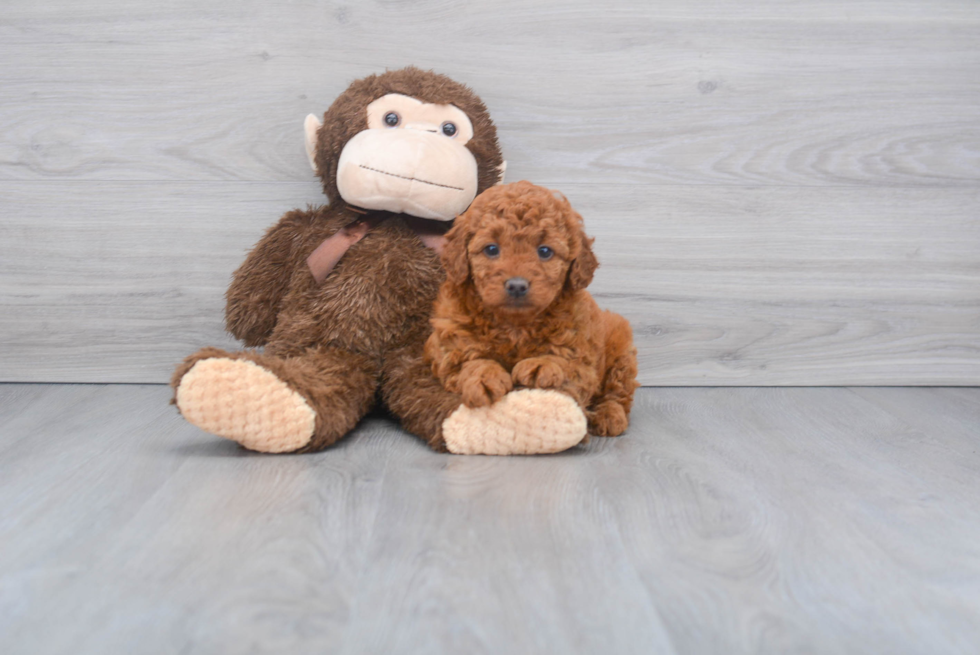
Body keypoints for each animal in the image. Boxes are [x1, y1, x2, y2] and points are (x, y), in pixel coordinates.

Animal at [424, 181, 640, 436]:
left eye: (544, 251)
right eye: (491, 249)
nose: (517, 285)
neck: (515, 325)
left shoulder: (582, 356)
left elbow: (566, 361)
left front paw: (542, 364)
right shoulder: (449, 346)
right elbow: (469, 361)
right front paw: (484, 377)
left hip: (622, 348)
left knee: (618, 391)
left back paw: (610, 415)